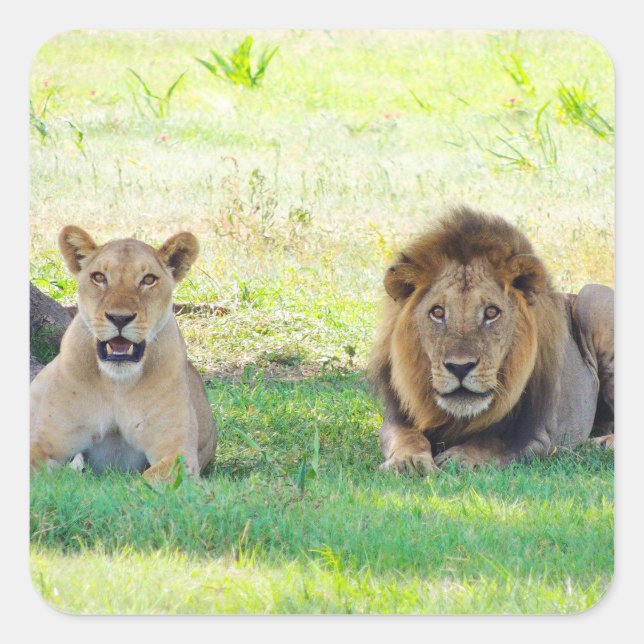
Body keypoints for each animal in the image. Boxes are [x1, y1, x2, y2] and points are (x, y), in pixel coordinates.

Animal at [30, 226, 217, 482]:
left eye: (148, 279)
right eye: (99, 277)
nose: (120, 318)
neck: (116, 385)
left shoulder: (177, 453)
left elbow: (149, 480)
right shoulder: (47, 442)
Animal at [368, 207, 614, 473]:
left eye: (491, 313)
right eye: (438, 312)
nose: (460, 367)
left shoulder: (538, 434)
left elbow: (492, 442)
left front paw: (460, 458)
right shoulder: (396, 418)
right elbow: (406, 437)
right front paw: (408, 461)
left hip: (593, 296)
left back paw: (603, 443)